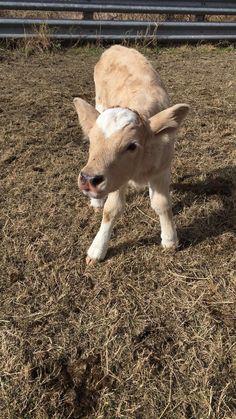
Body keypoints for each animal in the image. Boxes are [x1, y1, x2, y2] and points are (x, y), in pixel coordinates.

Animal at [74, 44, 190, 264]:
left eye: (132, 146)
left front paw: (170, 239)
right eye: (92, 140)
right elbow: (111, 209)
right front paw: (97, 249)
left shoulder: (162, 167)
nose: (89, 179)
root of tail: (115, 47)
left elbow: (162, 203)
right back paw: (96, 202)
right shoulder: (117, 176)